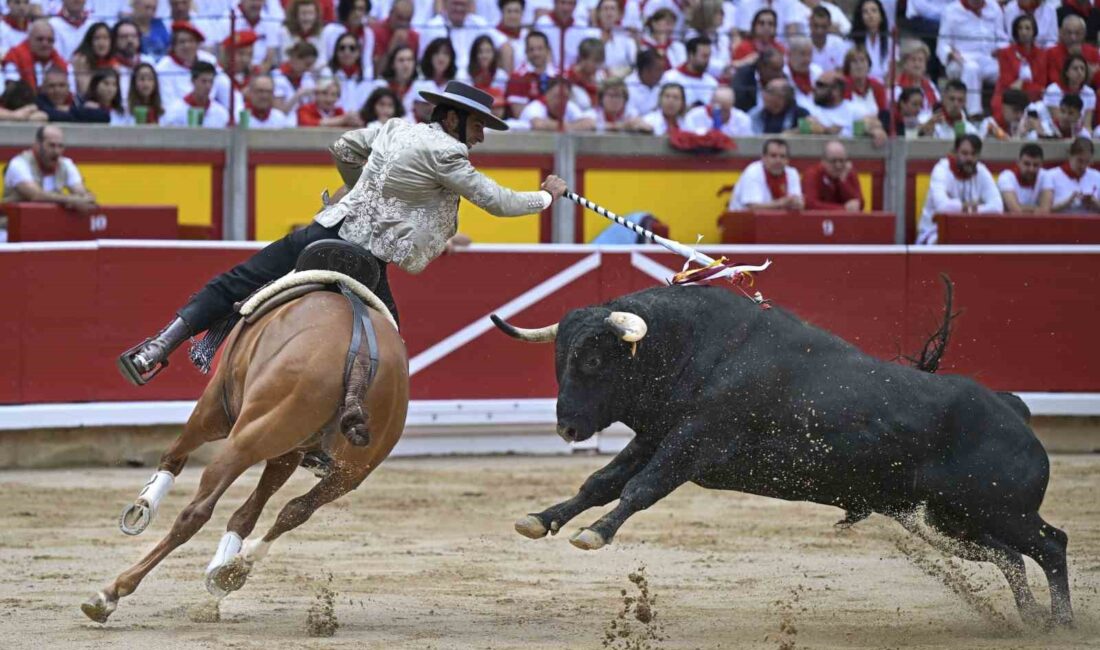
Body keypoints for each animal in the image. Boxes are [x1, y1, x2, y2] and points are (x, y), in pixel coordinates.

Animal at [80, 288, 409, 624]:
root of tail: (362, 358)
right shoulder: (288, 452)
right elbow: (252, 511)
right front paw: (225, 566)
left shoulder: (214, 407)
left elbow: (174, 455)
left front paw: (142, 506)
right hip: (349, 471)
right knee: (295, 509)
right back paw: (235, 568)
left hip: (244, 439)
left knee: (196, 513)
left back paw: (112, 593)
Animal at [492, 281, 1073, 629]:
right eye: (559, 358)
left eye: (593, 359)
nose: (568, 427)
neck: (695, 347)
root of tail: (1011, 408)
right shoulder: (656, 436)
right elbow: (600, 481)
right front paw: (541, 519)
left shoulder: (692, 443)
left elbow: (641, 488)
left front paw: (596, 533)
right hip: (950, 522)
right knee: (1010, 557)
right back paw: (1030, 621)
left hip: (999, 510)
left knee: (1051, 544)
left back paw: (1062, 624)